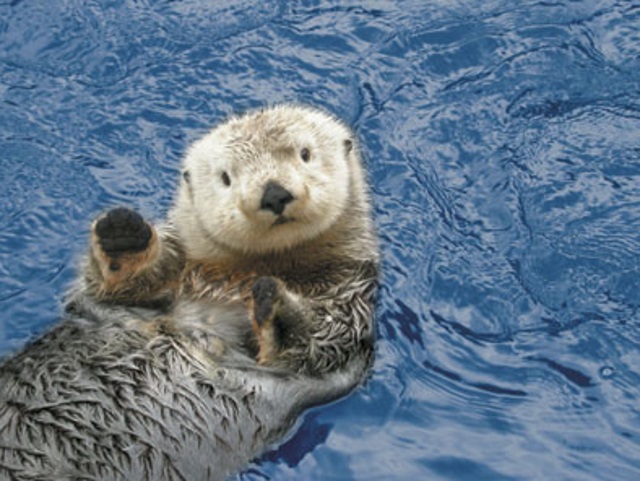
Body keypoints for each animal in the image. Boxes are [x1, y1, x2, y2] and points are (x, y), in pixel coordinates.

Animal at [0, 103, 378, 478]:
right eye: (226, 177)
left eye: (305, 154)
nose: (273, 193)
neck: (239, 277)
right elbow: (111, 290)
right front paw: (123, 235)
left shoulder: (349, 301)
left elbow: (317, 342)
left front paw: (278, 304)